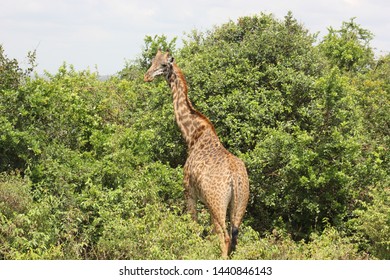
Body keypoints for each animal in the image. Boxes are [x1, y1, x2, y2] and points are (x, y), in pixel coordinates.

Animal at [144, 48, 250, 258]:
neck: (193, 135)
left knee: (224, 237)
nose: (146, 76)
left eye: (163, 65)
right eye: (152, 61)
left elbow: (193, 227)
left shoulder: (189, 191)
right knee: (234, 238)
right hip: (240, 204)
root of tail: (235, 177)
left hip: (216, 203)